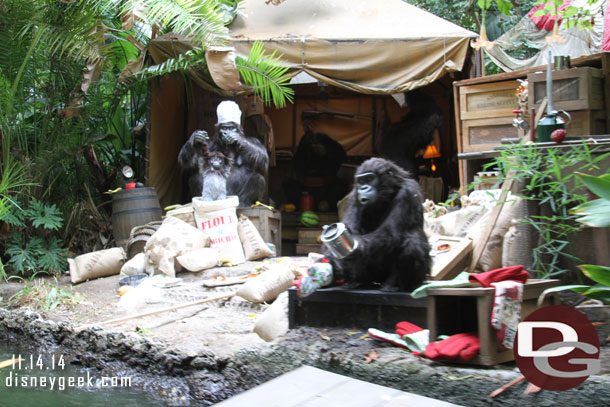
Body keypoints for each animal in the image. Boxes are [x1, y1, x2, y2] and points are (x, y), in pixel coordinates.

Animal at [326, 158, 430, 292]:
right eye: (361, 181)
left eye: (370, 178)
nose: (364, 188)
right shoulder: (354, 196)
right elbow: (350, 227)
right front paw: (332, 257)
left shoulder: (408, 192)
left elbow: (389, 232)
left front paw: (354, 249)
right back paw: (356, 281)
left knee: (412, 243)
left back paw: (396, 285)